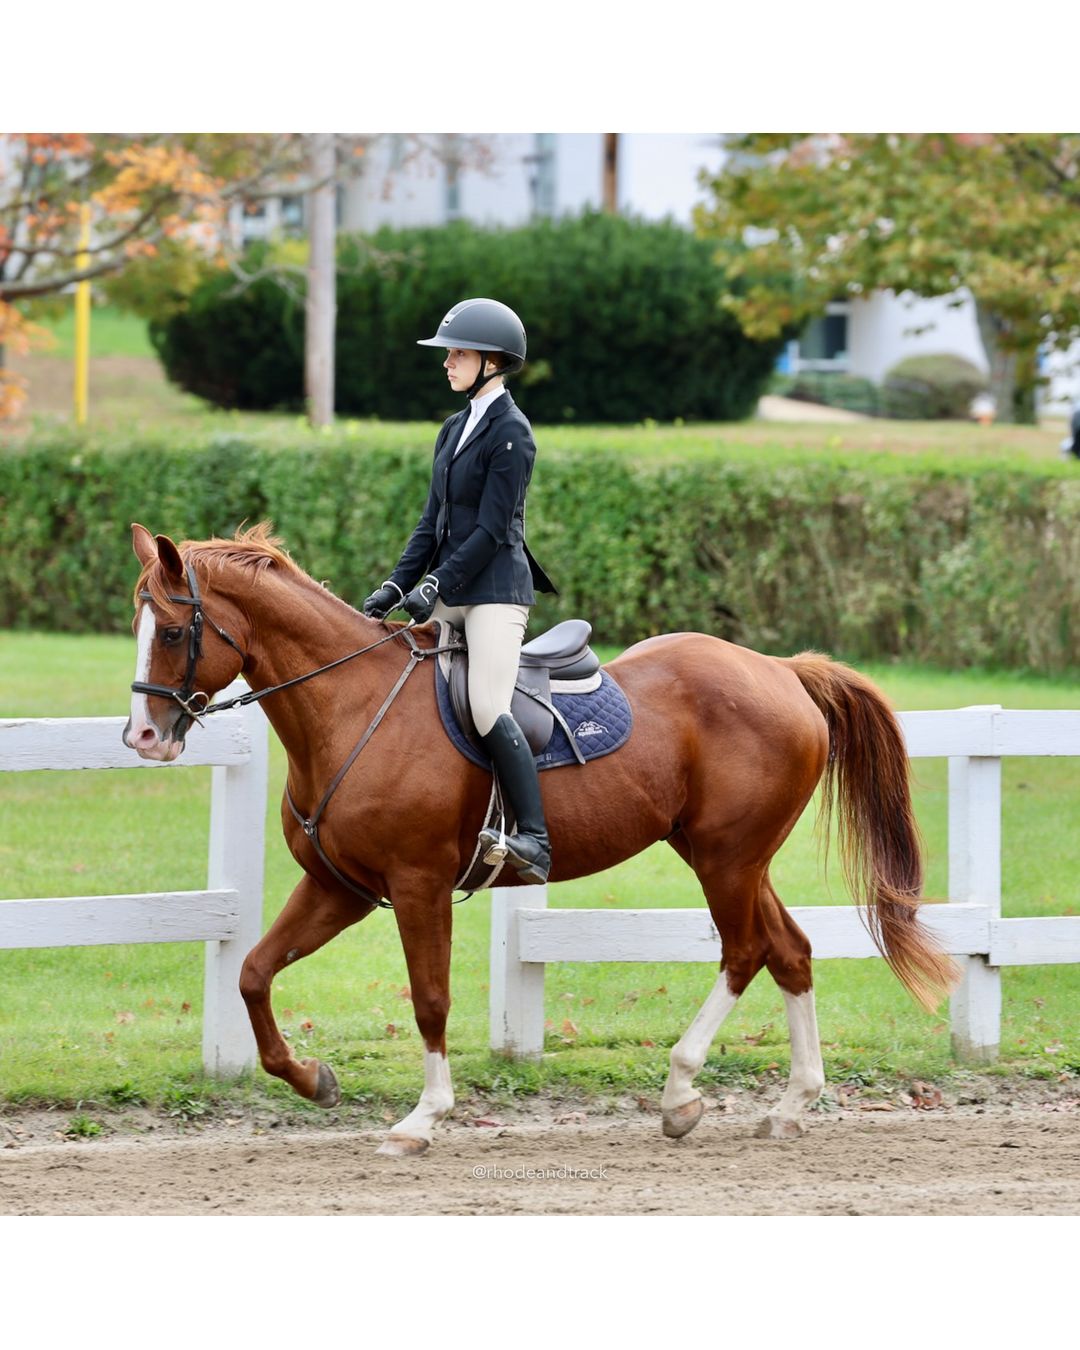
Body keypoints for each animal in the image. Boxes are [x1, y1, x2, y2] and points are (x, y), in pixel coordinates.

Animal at [124, 522, 958, 1157]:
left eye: (174, 631)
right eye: (138, 628)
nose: (142, 738)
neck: (351, 705)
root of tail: (782, 671)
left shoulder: (418, 885)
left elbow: (430, 998)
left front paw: (423, 1118)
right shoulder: (340, 886)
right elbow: (253, 974)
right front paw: (313, 1079)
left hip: (729, 858)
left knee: (746, 951)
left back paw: (680, 1089)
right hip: (727, 855)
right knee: (790, 951)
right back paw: (790, 1104)